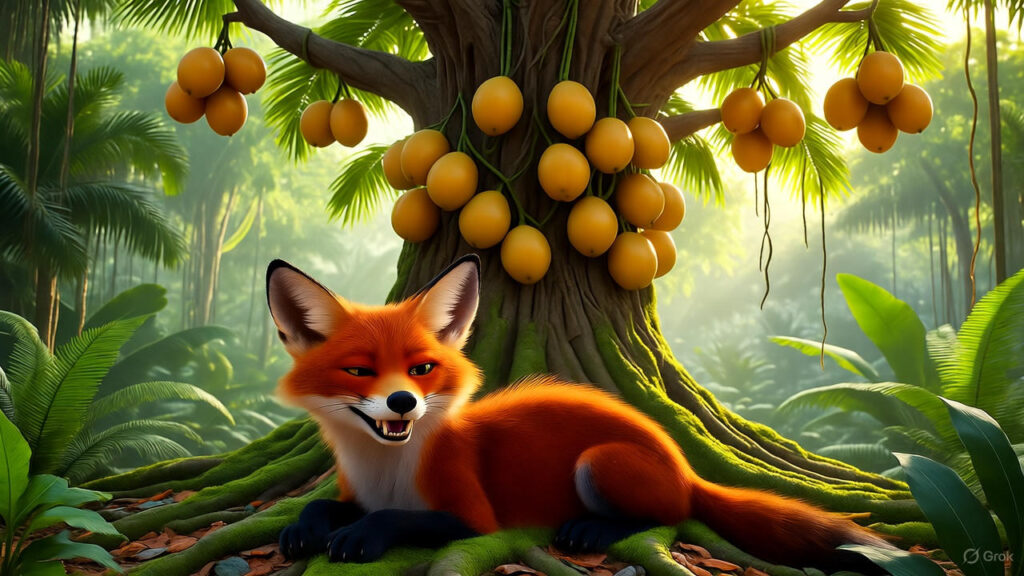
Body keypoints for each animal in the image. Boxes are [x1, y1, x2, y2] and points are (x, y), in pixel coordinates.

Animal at [266, 254, 891, 567]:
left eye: (422, 369)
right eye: (358, 372)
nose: (403, 402)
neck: (389, 470)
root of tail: (684, 462)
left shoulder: (473, 517)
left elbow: (397, 519)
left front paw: (360, 537)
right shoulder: (355, 492)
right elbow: (322, 504)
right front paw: (304, 528)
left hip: (598, 462)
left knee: (671, 515)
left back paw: (591, 529)